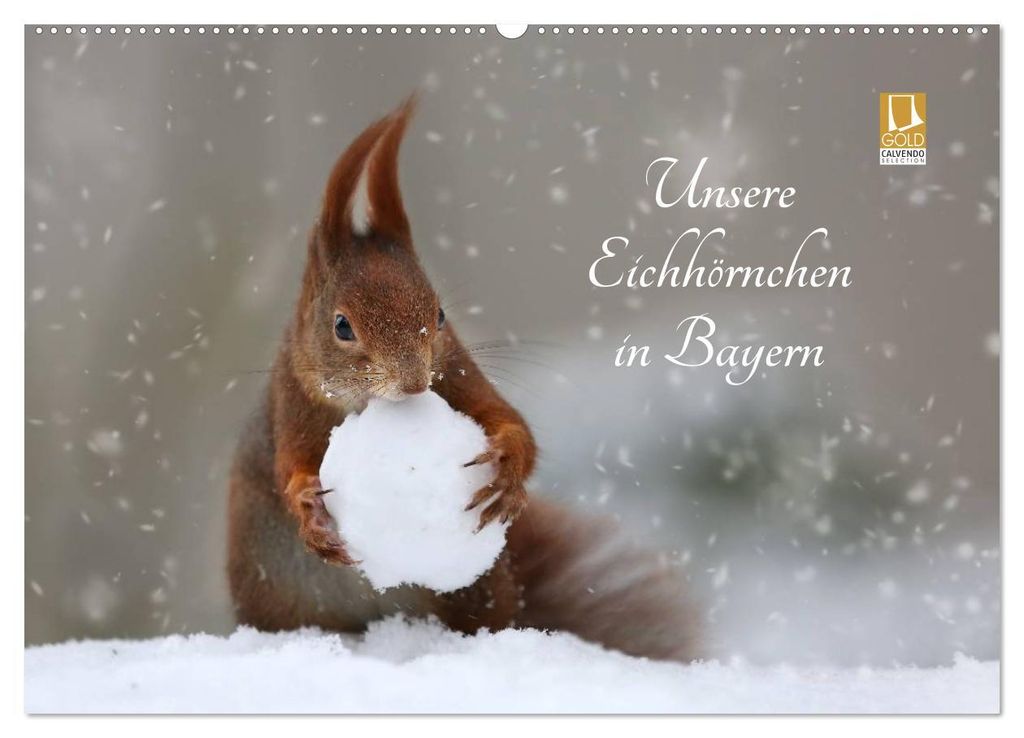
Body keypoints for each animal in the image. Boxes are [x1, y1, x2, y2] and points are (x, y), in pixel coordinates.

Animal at [227, 97, 700, 662]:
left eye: (440, 314)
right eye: (342, 326)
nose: (413, 384)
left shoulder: (459, 376)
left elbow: (511, 423)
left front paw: (508, 473)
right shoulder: (291, 403)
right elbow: (290, 467)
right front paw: (309, 511)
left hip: (474, 588)